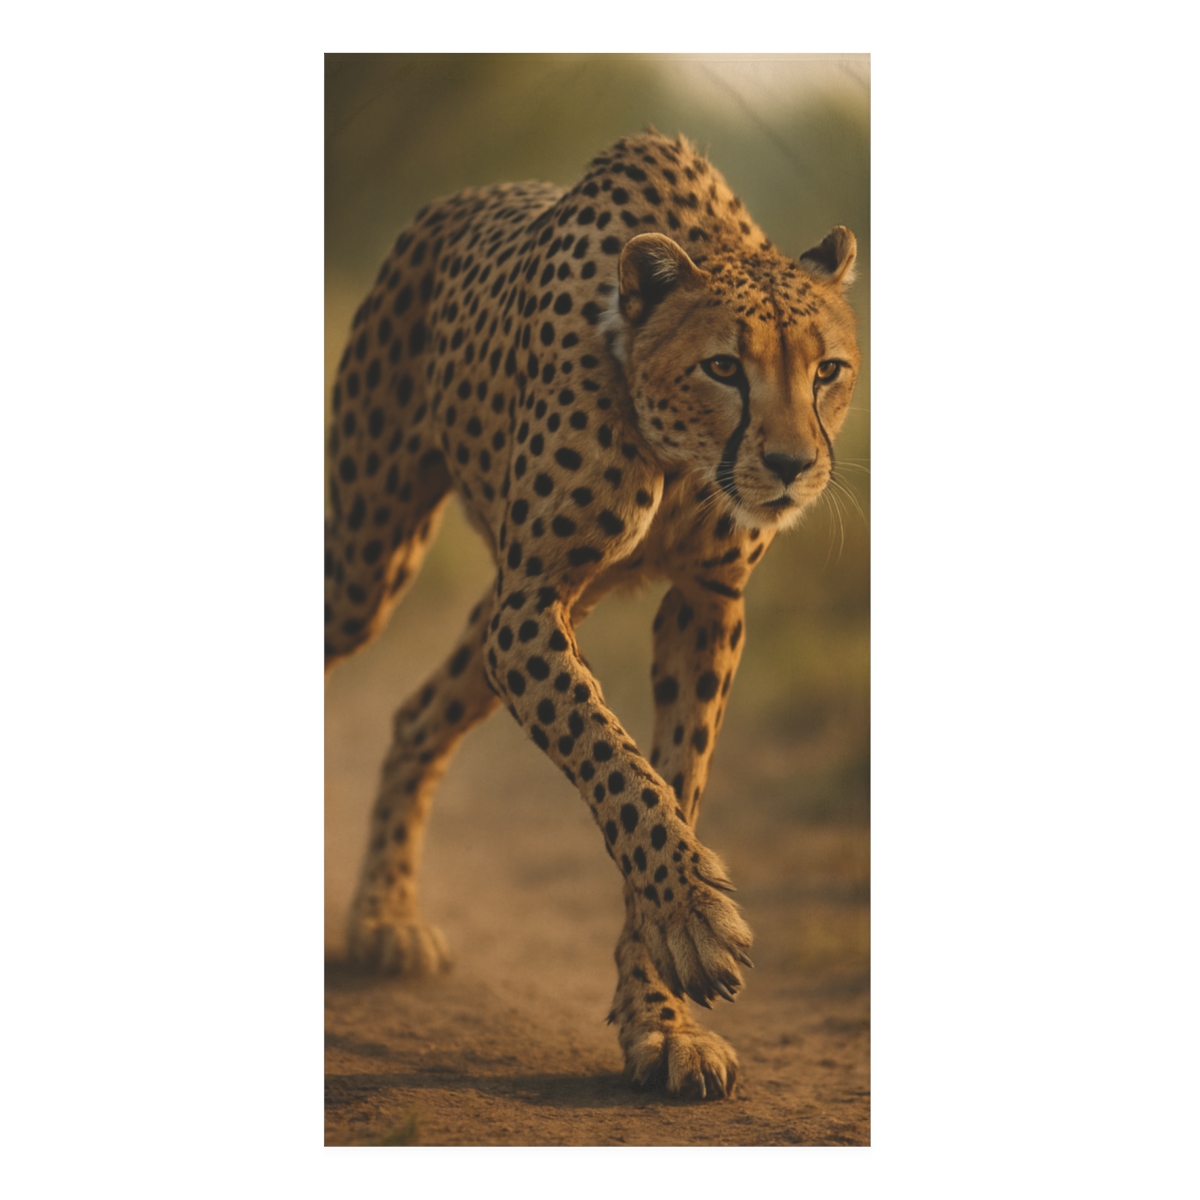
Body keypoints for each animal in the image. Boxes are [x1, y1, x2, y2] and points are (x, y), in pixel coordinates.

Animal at [325, 130, 861, 1100]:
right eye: (725, 367)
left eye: (827, 370)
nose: (794, 466)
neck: (678, 451)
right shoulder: (535, 599)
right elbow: (617, 763)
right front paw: (694, 919)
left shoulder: (704, 601)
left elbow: (676, 777)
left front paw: (662, 1018)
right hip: (370, 562)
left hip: (495, 610)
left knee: (418, 714)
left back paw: (384, 916)